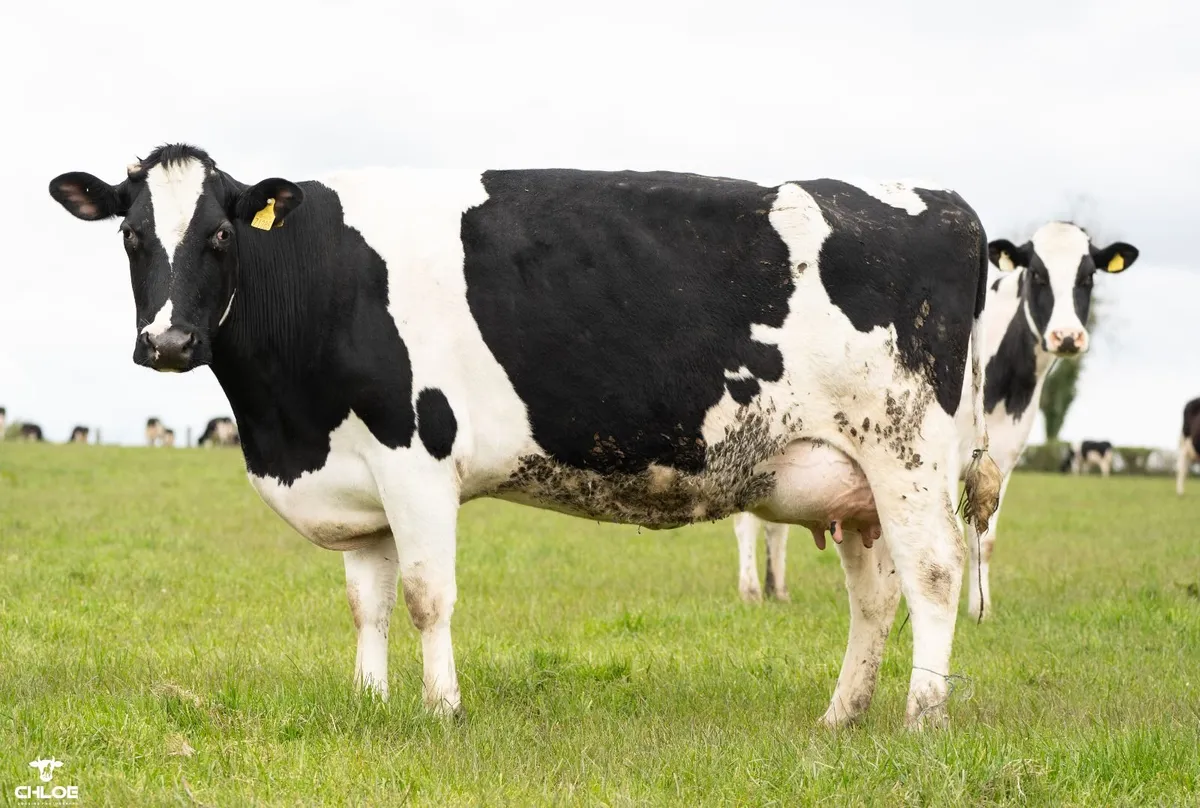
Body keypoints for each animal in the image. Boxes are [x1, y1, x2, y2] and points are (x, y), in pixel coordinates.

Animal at [47, 143, 1001, 729]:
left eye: (218, 233)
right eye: (131, 235)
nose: (168, 342)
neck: (287, 427)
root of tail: (943, 203)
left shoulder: (416, 454)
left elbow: (427, 596)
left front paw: (441, 710)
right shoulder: (359, 476)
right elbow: (367, 601)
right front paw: (369, 702)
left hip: (906, 453)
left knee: (935, 574)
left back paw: (922, 718)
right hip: (854, 483)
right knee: (875, 597)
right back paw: (841, 716)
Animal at [735, 222, 1138, 620]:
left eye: (1088, 276)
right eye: (1037, 274)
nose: (1067, 336)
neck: (1006, 387)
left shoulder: (1003, 459)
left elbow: (984, 537)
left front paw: (980, 611)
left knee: (774, 525)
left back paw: (778, 590)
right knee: (747, 520)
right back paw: (751, 590)